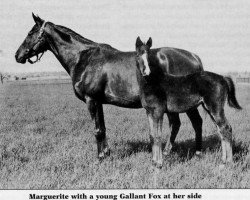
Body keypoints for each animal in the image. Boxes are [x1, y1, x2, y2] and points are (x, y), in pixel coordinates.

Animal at [135, 36, 242, 168]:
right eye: (138, 54)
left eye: (149, 55)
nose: (146, 71)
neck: (152, 81)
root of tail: (223, 78)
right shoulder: (149, 112)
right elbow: (152, 135)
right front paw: (154, 162)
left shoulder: (158, 111)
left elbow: (158, 136)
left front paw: (159, 163)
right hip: (210, 108)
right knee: (221, 130)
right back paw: (222, 160)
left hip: (215, 108)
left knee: (226, 128)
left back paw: (228, 162)